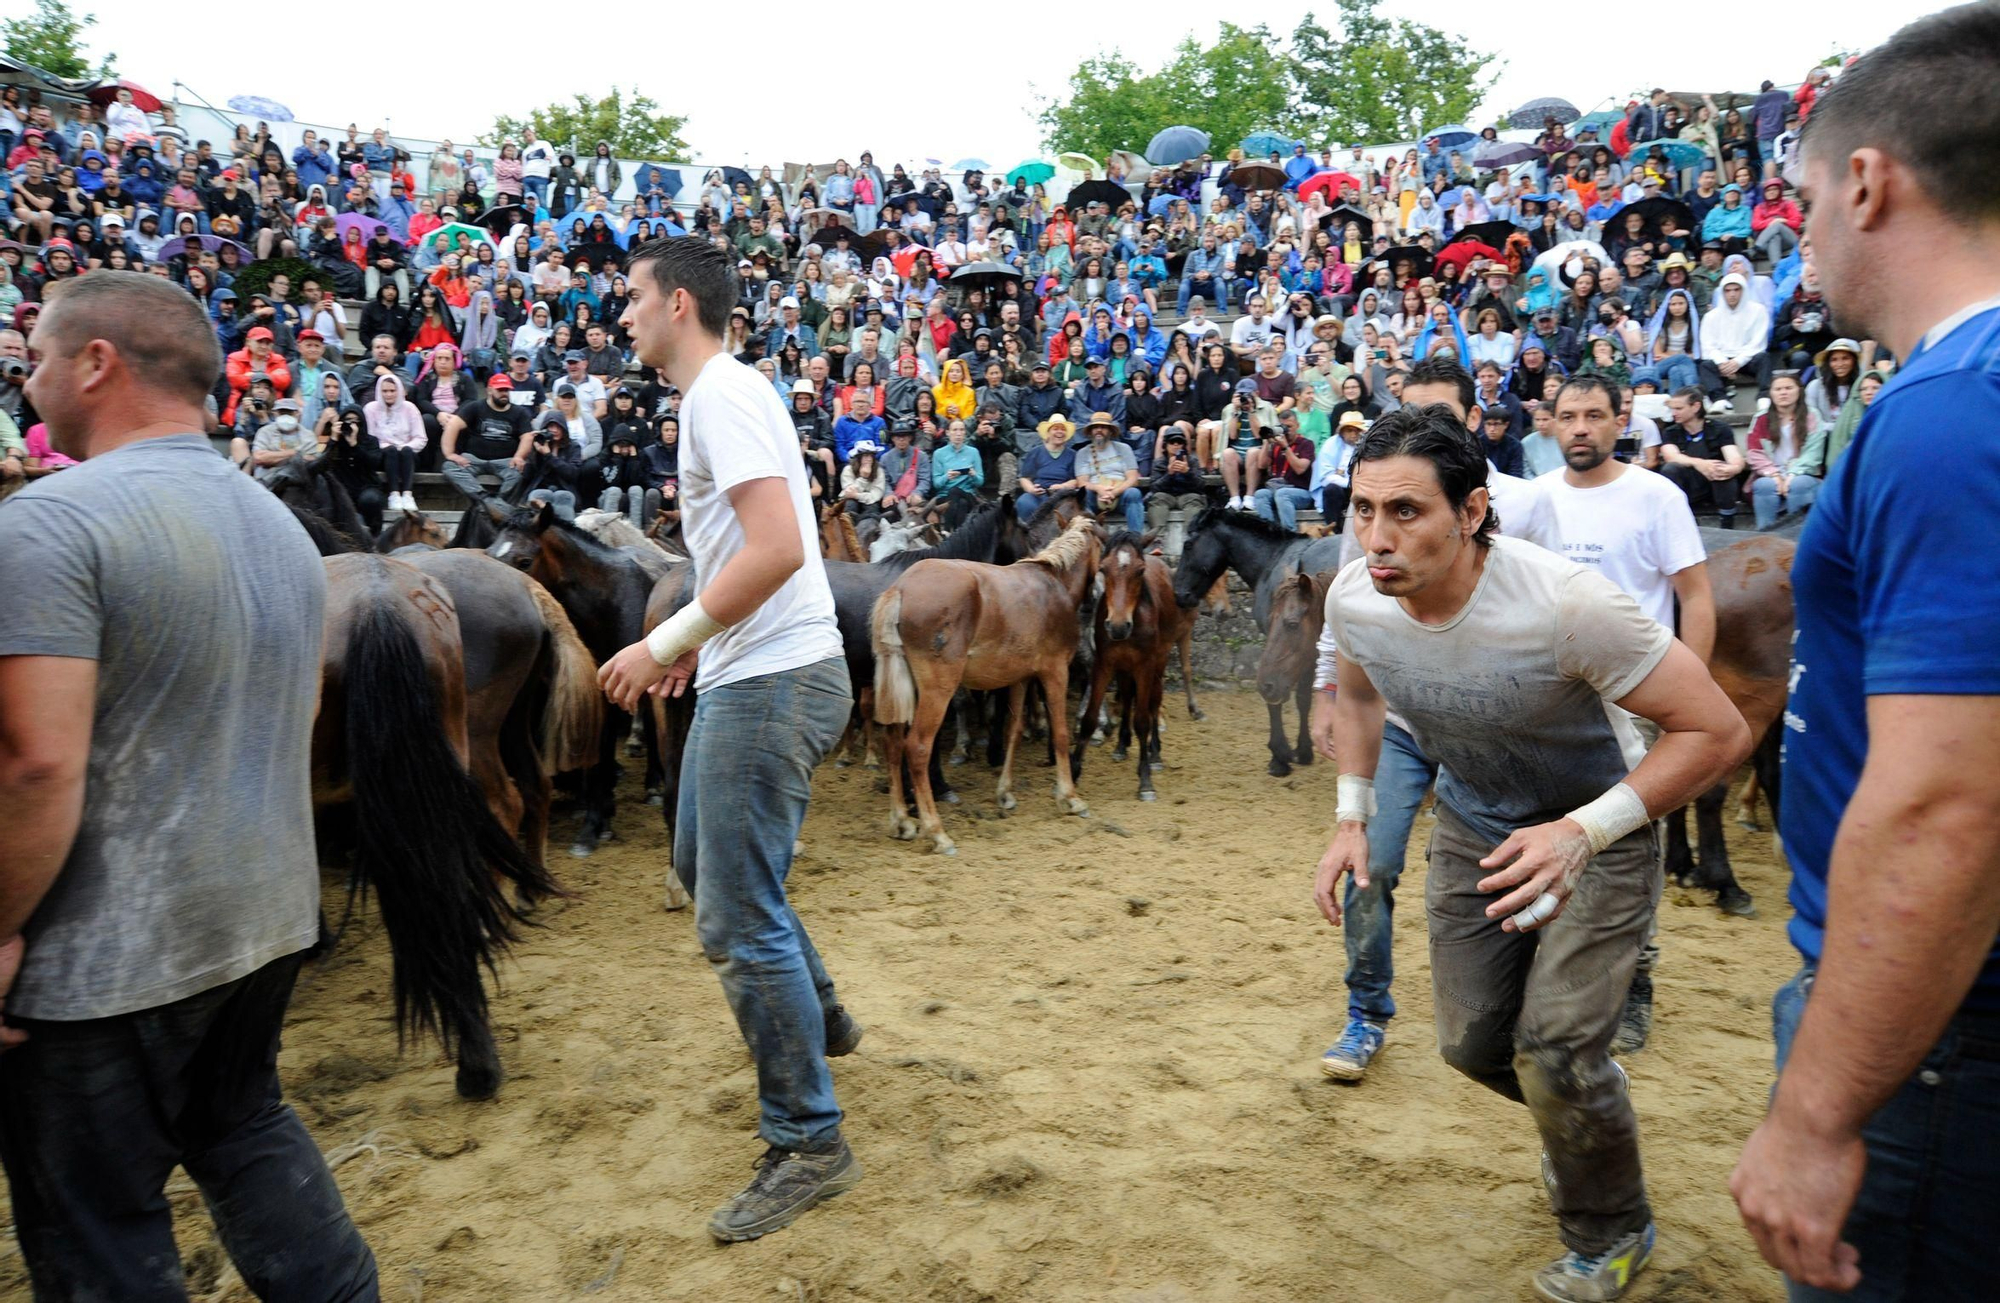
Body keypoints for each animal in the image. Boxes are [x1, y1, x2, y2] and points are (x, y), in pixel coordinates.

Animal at [488, 505, 676, 855]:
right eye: (491, 553)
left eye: (524, 560)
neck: (603, 601)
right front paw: (595, 816)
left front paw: (595, 823)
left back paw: (653, 783)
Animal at [872, 509, 1104, 855]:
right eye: (1104, 544)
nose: (1099, 593)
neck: (1054, 583)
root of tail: (900, 589)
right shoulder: (1054, 672)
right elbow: (1061, 734)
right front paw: (1070, 797)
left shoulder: (1021, 678)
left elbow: (1013, 731)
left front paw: (1005, 793)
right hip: (938, 689)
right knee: (917, 747)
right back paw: (937, 832)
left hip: (906, 688)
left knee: (893, 742)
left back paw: (902, 821)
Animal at [1072, 531, 1192, 799]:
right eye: (1103, 568)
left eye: (1140, 571)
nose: (1117, 626)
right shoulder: (1104, 664)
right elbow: (1090, 718)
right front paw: (1073, 772)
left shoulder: (1145, 666)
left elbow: (1143, 720)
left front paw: (1145, 780)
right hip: (1125, 667)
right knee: (1127, 697)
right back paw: (1121, 745)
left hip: (1160, 659)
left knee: (1154, 701)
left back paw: (1154, 753)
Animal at [1168, 509, 1344, 775]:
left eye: (1188, 545)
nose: (1179, 594)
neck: (1275, 561)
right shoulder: (1307, 650)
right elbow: (1303, 699)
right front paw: (1303, 750)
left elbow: (1276, 695)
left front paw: (1279, 756)